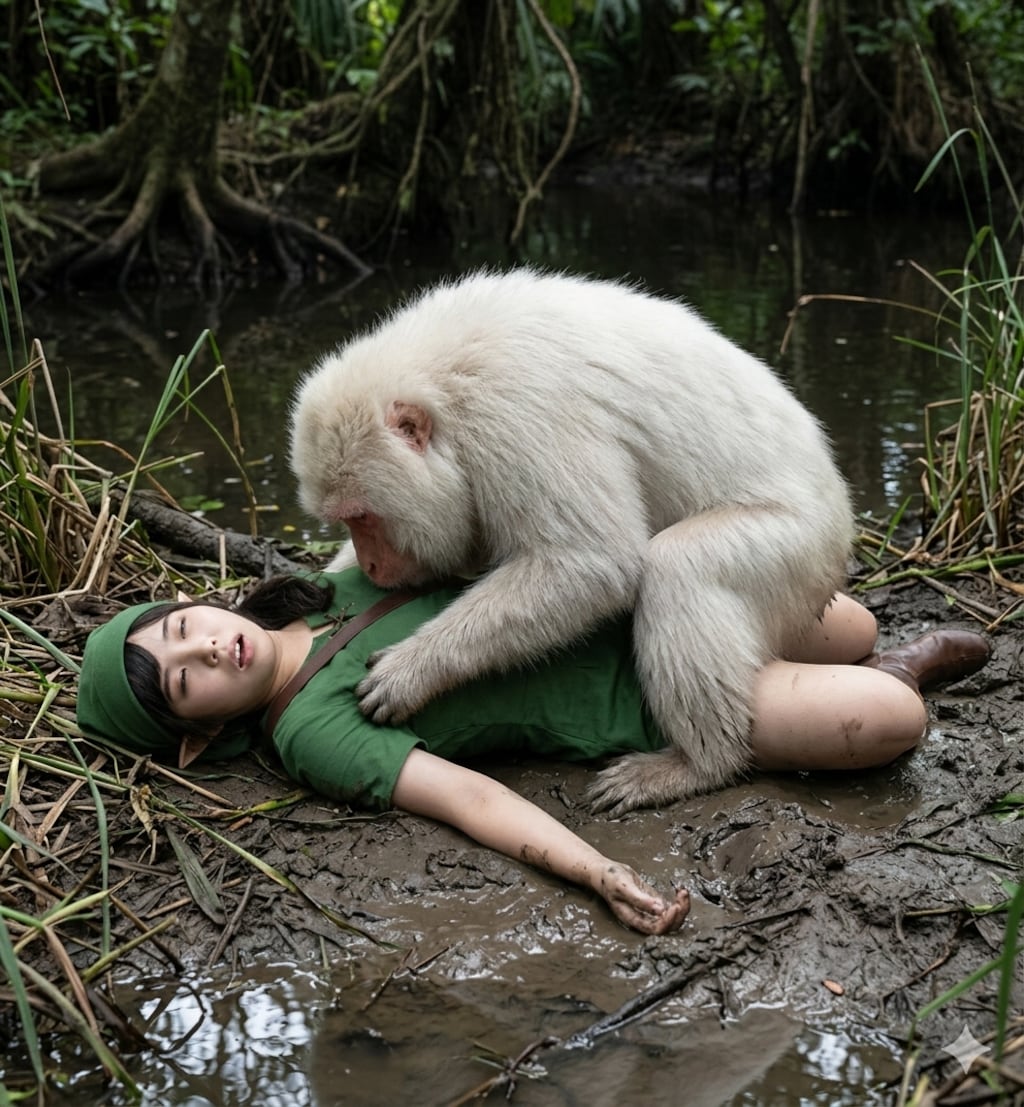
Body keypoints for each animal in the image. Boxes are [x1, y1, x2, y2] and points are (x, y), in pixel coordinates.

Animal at [288, 268, 855, 815]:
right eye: (345, 523)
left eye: (363, 518)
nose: (371, 566)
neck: (445, 381)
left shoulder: (516, 415)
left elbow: (593, 563)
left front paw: (412, 670)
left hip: (800, 550)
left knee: (678, 566)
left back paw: (700, 764)